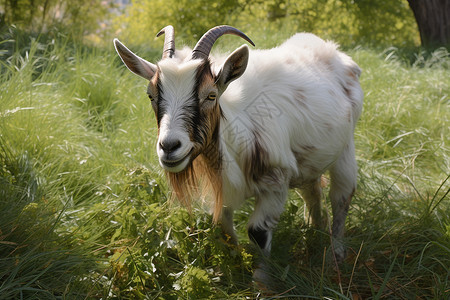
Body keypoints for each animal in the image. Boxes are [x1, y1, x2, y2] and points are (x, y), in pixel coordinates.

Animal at [114, 25, 364, 276]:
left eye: (211, 95)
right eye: (151, 95)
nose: (169, 146)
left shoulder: (276, 181)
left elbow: (257, 232)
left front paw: (261, 280)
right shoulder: (224, 190)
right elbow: (223, 229)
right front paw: (236, 270)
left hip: (345, 148)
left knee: (341, 196)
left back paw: (336, 254)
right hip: (308, 162)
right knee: (312, 192)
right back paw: (314, 230)